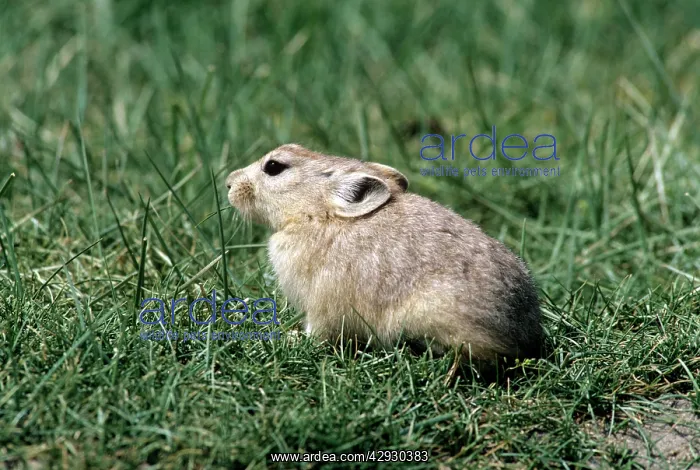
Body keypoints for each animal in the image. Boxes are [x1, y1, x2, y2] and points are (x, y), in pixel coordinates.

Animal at [225, 144, 543, 364]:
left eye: (274, 166)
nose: (229, 182)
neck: (319, 216)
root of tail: (523, 333)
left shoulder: (323, 305)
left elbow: (317, 333)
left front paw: (290, 340)